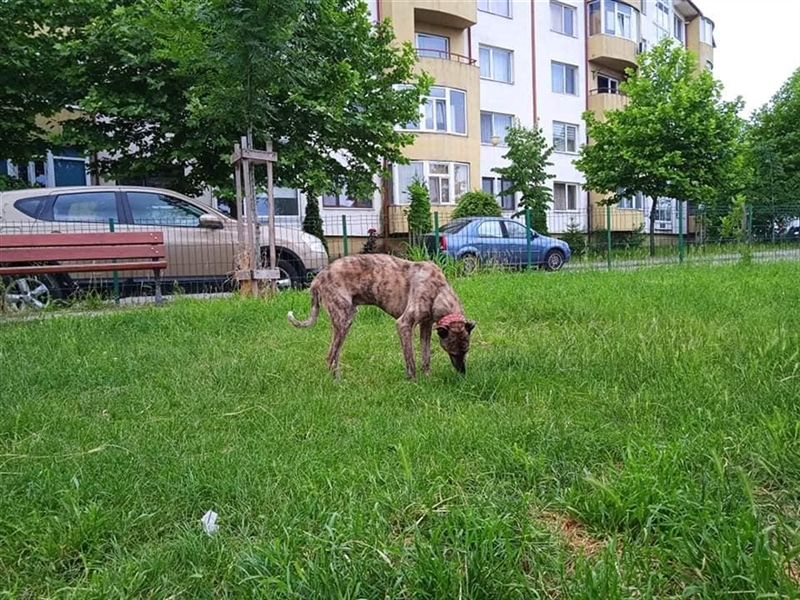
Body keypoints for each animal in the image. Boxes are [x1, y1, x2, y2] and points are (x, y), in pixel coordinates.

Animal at [288, 254, 475, 380]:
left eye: (466, 351)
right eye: (452, 352)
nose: (462, 374)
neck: (438, 289)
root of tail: (318, 278)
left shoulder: (426, 325)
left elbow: (426, 355)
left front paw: (428, 377)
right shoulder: (404, 324)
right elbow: (411, 360)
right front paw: (414, 382)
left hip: (344, 321)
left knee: (335, 356)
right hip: (344, 319)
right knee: (330, 356)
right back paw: (334, 383)